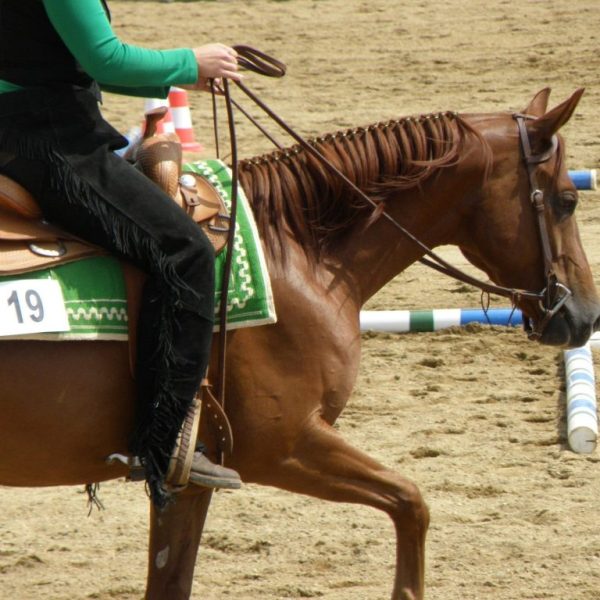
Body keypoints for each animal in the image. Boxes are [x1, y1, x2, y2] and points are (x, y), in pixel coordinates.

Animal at [1, 89, 600, 600]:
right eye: (567, 200)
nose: (585, 315)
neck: (296, 253)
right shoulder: (283, 447)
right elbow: (411, 502)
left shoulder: (189, 482)